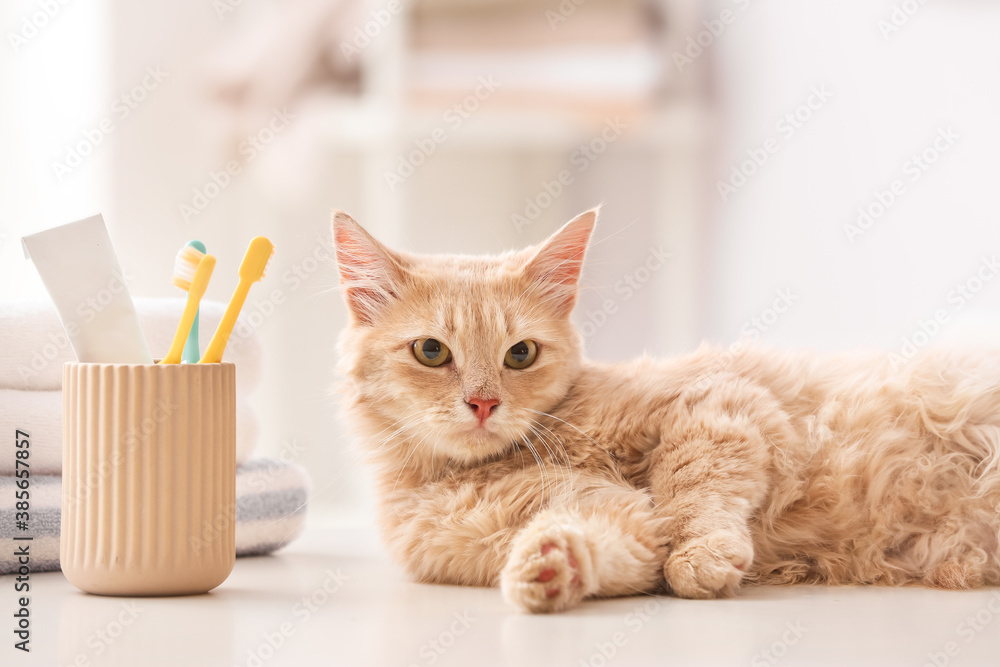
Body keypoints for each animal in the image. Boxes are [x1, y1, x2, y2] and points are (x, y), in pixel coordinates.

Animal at [334, 211, 1000, 612]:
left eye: (520, 354)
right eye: (431, 351)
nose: (482, 402)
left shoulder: (719, 403)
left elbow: (690, 490)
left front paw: (702, 557)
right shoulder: (618, 526)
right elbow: (614, 542)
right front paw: (550, 566)